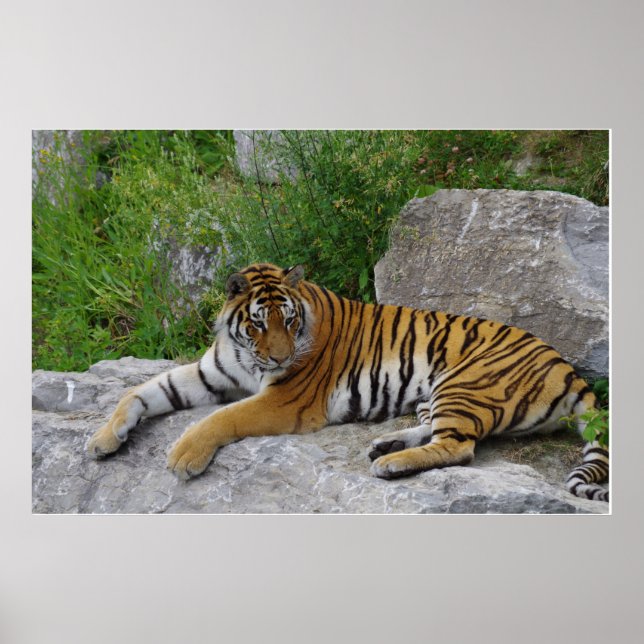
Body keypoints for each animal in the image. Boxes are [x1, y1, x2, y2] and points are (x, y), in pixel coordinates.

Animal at [86, 262, 609, 503]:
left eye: (289, 321)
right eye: (258, 323)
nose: (280, 356)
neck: (245, 354)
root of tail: (567, 367)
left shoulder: (283, 402)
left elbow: (222, 418)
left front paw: (182, 457)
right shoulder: (208, 373)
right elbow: (142, 391)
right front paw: (102, 440)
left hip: (465, 381)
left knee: (460, 447)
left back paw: (391, 465)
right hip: (435, 392)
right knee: (438, 430)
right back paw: (385, 445)